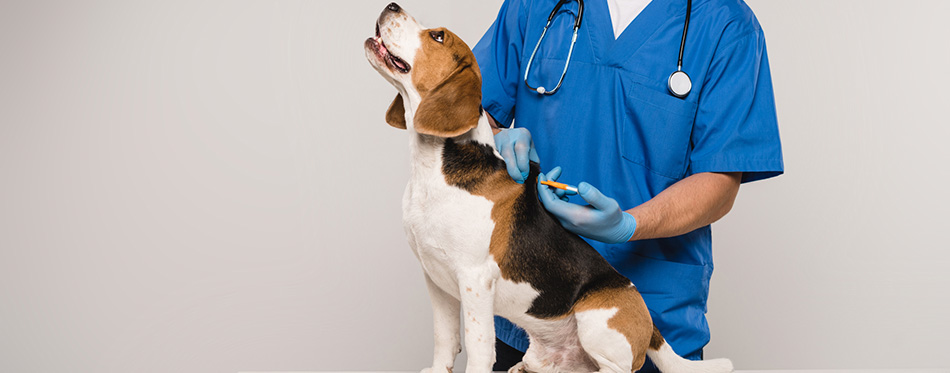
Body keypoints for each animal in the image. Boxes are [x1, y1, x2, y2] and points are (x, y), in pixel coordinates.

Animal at [364, 2, 736, 372]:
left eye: (438, 36)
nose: (391, 6)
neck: (434, 167)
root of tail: (651, 326)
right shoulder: (435, 278)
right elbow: (445, 339)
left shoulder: (475, 280)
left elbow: (478, 347)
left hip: (596, 321)